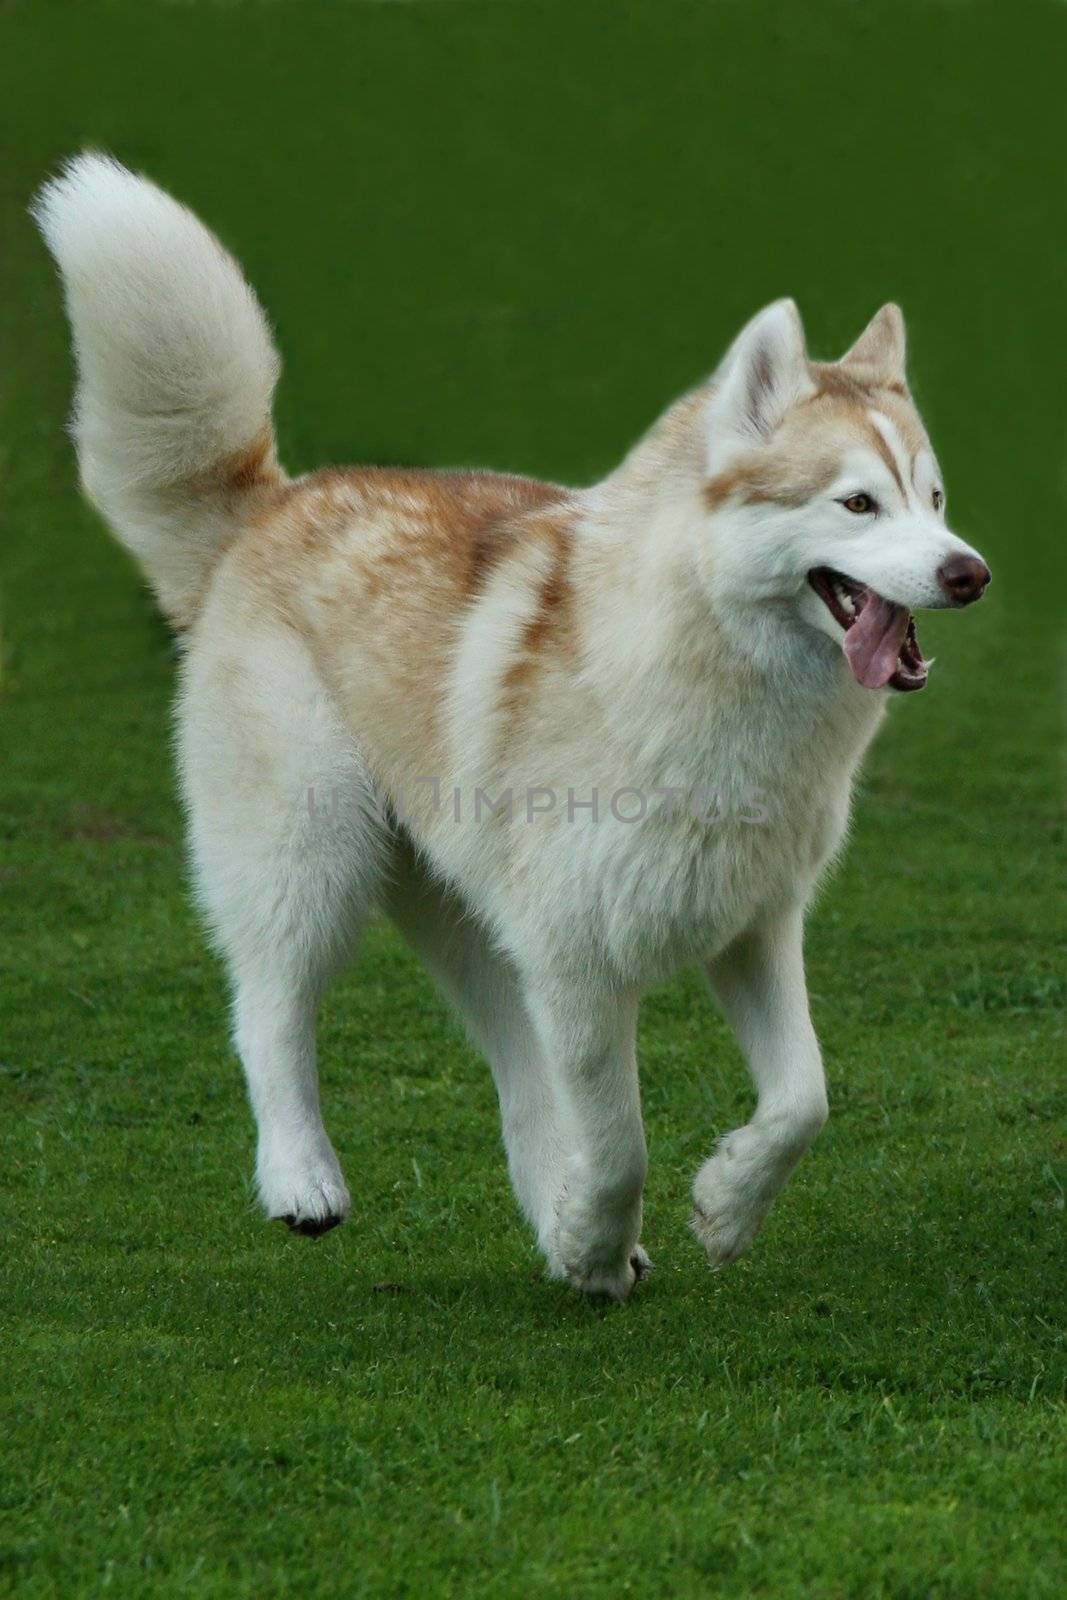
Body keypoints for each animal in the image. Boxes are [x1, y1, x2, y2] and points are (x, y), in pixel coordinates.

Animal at [35, 152, 991, 1299]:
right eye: (855, 505)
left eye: (932, 499)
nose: (968, 572)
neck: (708, 680)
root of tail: (268, 505)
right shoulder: (579, 963)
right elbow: (621, 1136)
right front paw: (601, 1239)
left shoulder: (749, 928)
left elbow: (803, 1096)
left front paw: (718, 1209)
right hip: (307, 860)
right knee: (268, 1010)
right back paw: (304, 1178)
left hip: (476, 926)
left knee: (519, 1079)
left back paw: (559, 1214)